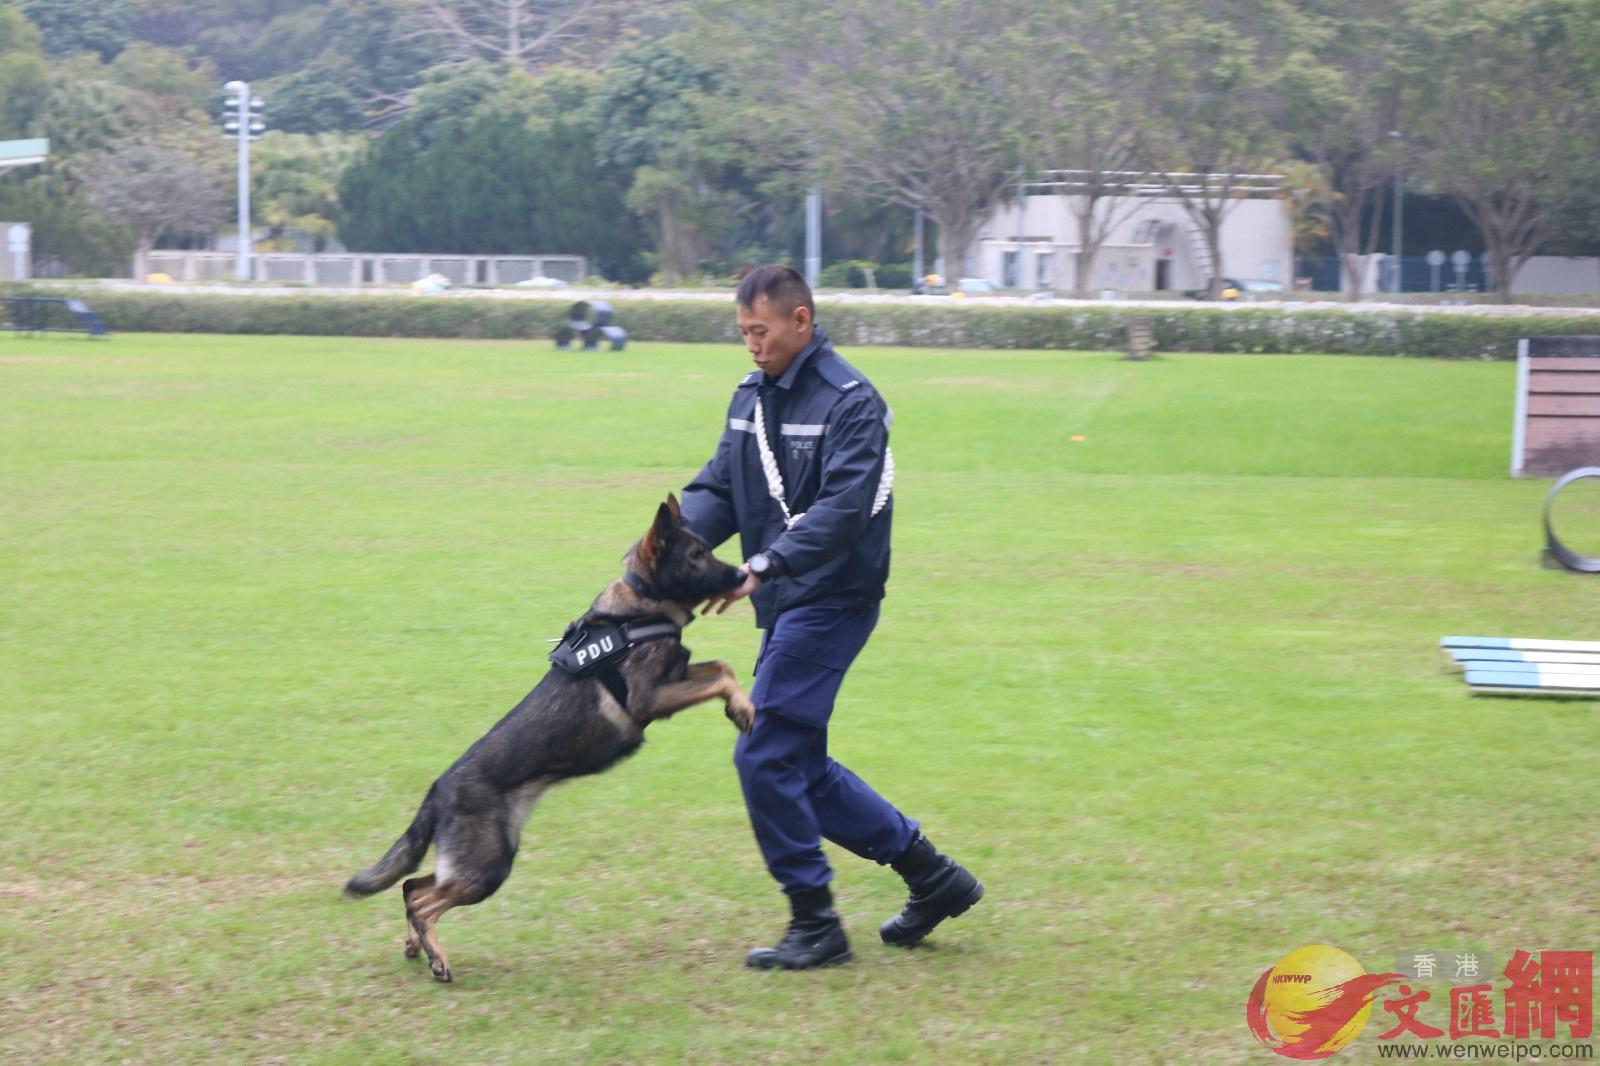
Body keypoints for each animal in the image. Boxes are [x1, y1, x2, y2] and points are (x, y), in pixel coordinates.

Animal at [340, 496, 752, 979]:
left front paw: (741, 708)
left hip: (480, 861)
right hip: (486, 867)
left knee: (410, 887)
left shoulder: (677, 679)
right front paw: (744, 708)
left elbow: (722, 667)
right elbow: (721, 675)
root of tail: (436, 791)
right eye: (696, 556)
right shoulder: (651, 698)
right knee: (422, 900)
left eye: (707, 549)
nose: (743, 575)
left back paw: (416, 947)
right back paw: (437, 959)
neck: (638, 609)